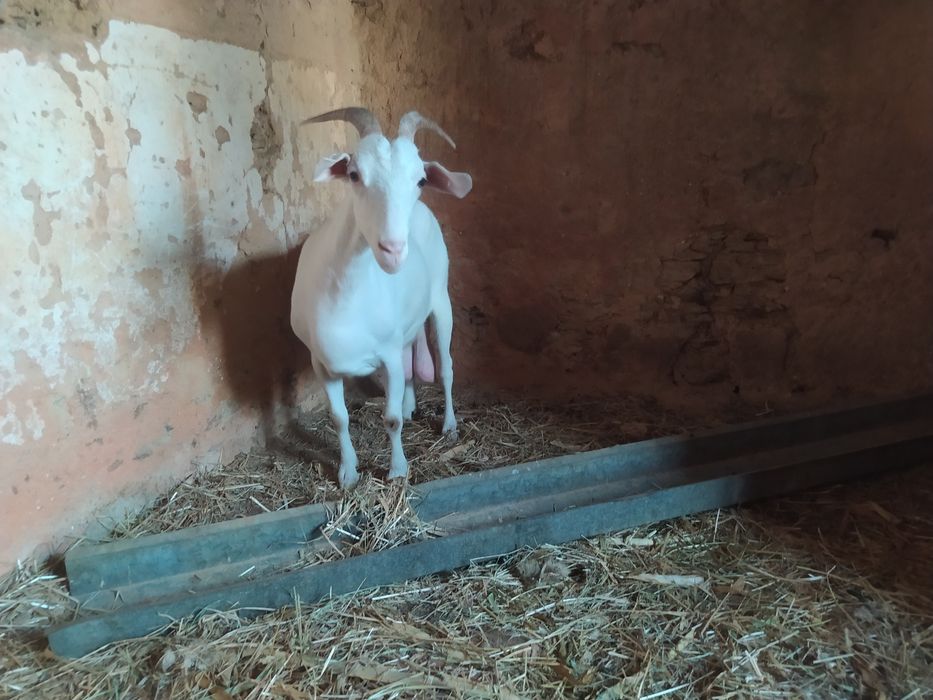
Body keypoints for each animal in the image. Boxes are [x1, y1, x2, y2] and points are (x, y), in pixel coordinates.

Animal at [291, 108, 472, 488]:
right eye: (354, 174)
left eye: (421, 180)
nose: (393, 249)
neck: (346, 296)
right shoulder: (321, 361)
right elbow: (339, 417)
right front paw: (347, 472)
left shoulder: (386, 354)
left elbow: (390, 420)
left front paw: (398, 471)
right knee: (409, 364)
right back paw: (410, 404)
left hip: (441, 299)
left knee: (446, 367)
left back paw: (449, 425)